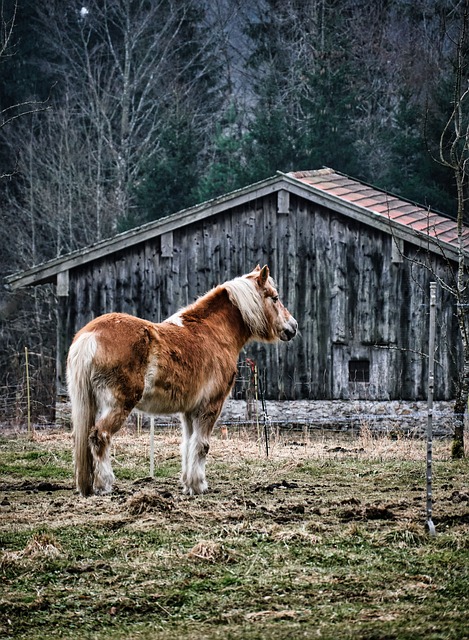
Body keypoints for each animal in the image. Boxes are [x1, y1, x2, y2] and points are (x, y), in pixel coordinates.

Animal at [67, 265, 297, 497]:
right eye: (275, 298)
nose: (293, 326)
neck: (213, 334)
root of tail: (91, 335)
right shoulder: (210, 407)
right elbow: (202, 445)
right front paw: (198, 485)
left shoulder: (189, 411)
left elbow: (188, 444)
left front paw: (188, 484)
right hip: (118, 404)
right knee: (100, 436)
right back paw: (104, 485)